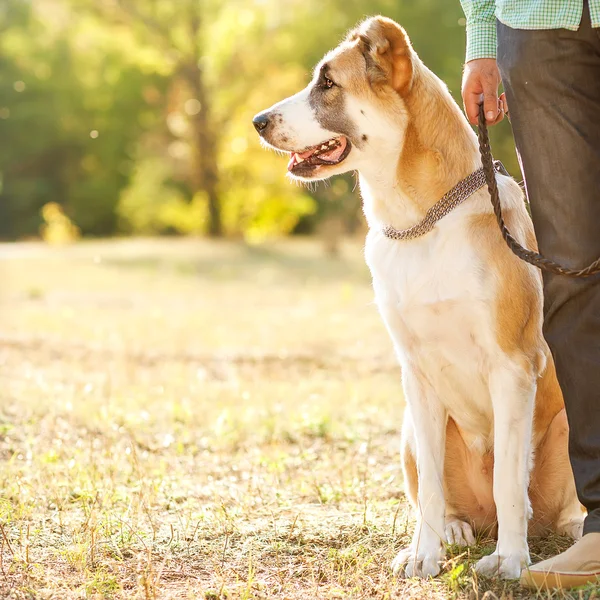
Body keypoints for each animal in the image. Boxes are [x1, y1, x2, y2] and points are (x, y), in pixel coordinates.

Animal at [252, 15, 580, 576]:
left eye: (328, 83)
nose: (257, 121)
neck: (423, 222)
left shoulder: (512, 366)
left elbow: (509, 478)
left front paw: (510, 560)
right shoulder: (418, 375)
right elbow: (429, 483)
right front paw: (424, 553)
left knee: (544, 504)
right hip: (408, 425)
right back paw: (454, 529)